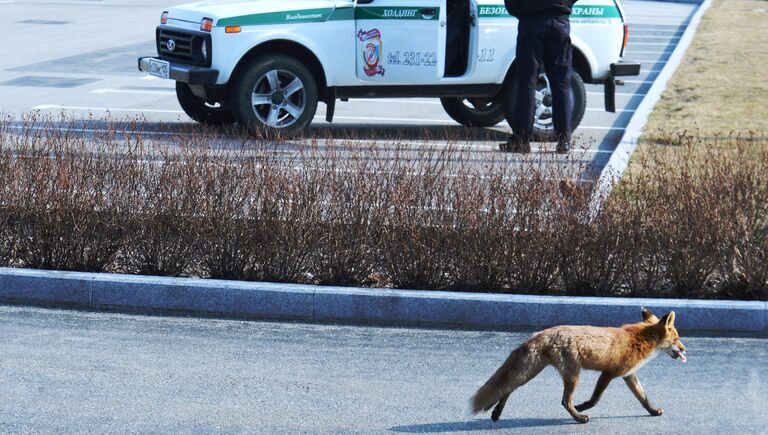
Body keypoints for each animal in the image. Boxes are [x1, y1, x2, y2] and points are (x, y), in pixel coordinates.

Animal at [472, 308, 688, 424]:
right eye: (677, 339)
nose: (685, 350)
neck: (638, 339)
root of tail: (542, 333)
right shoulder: (608, 373)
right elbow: (595, 399)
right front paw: (582, 406)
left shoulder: (629, 375)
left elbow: (643, 398)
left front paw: (652, 411)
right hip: (573, 376)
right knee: (564, 401)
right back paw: (578, 417)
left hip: (534, 369)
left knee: (509, 388)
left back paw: (497, 413)